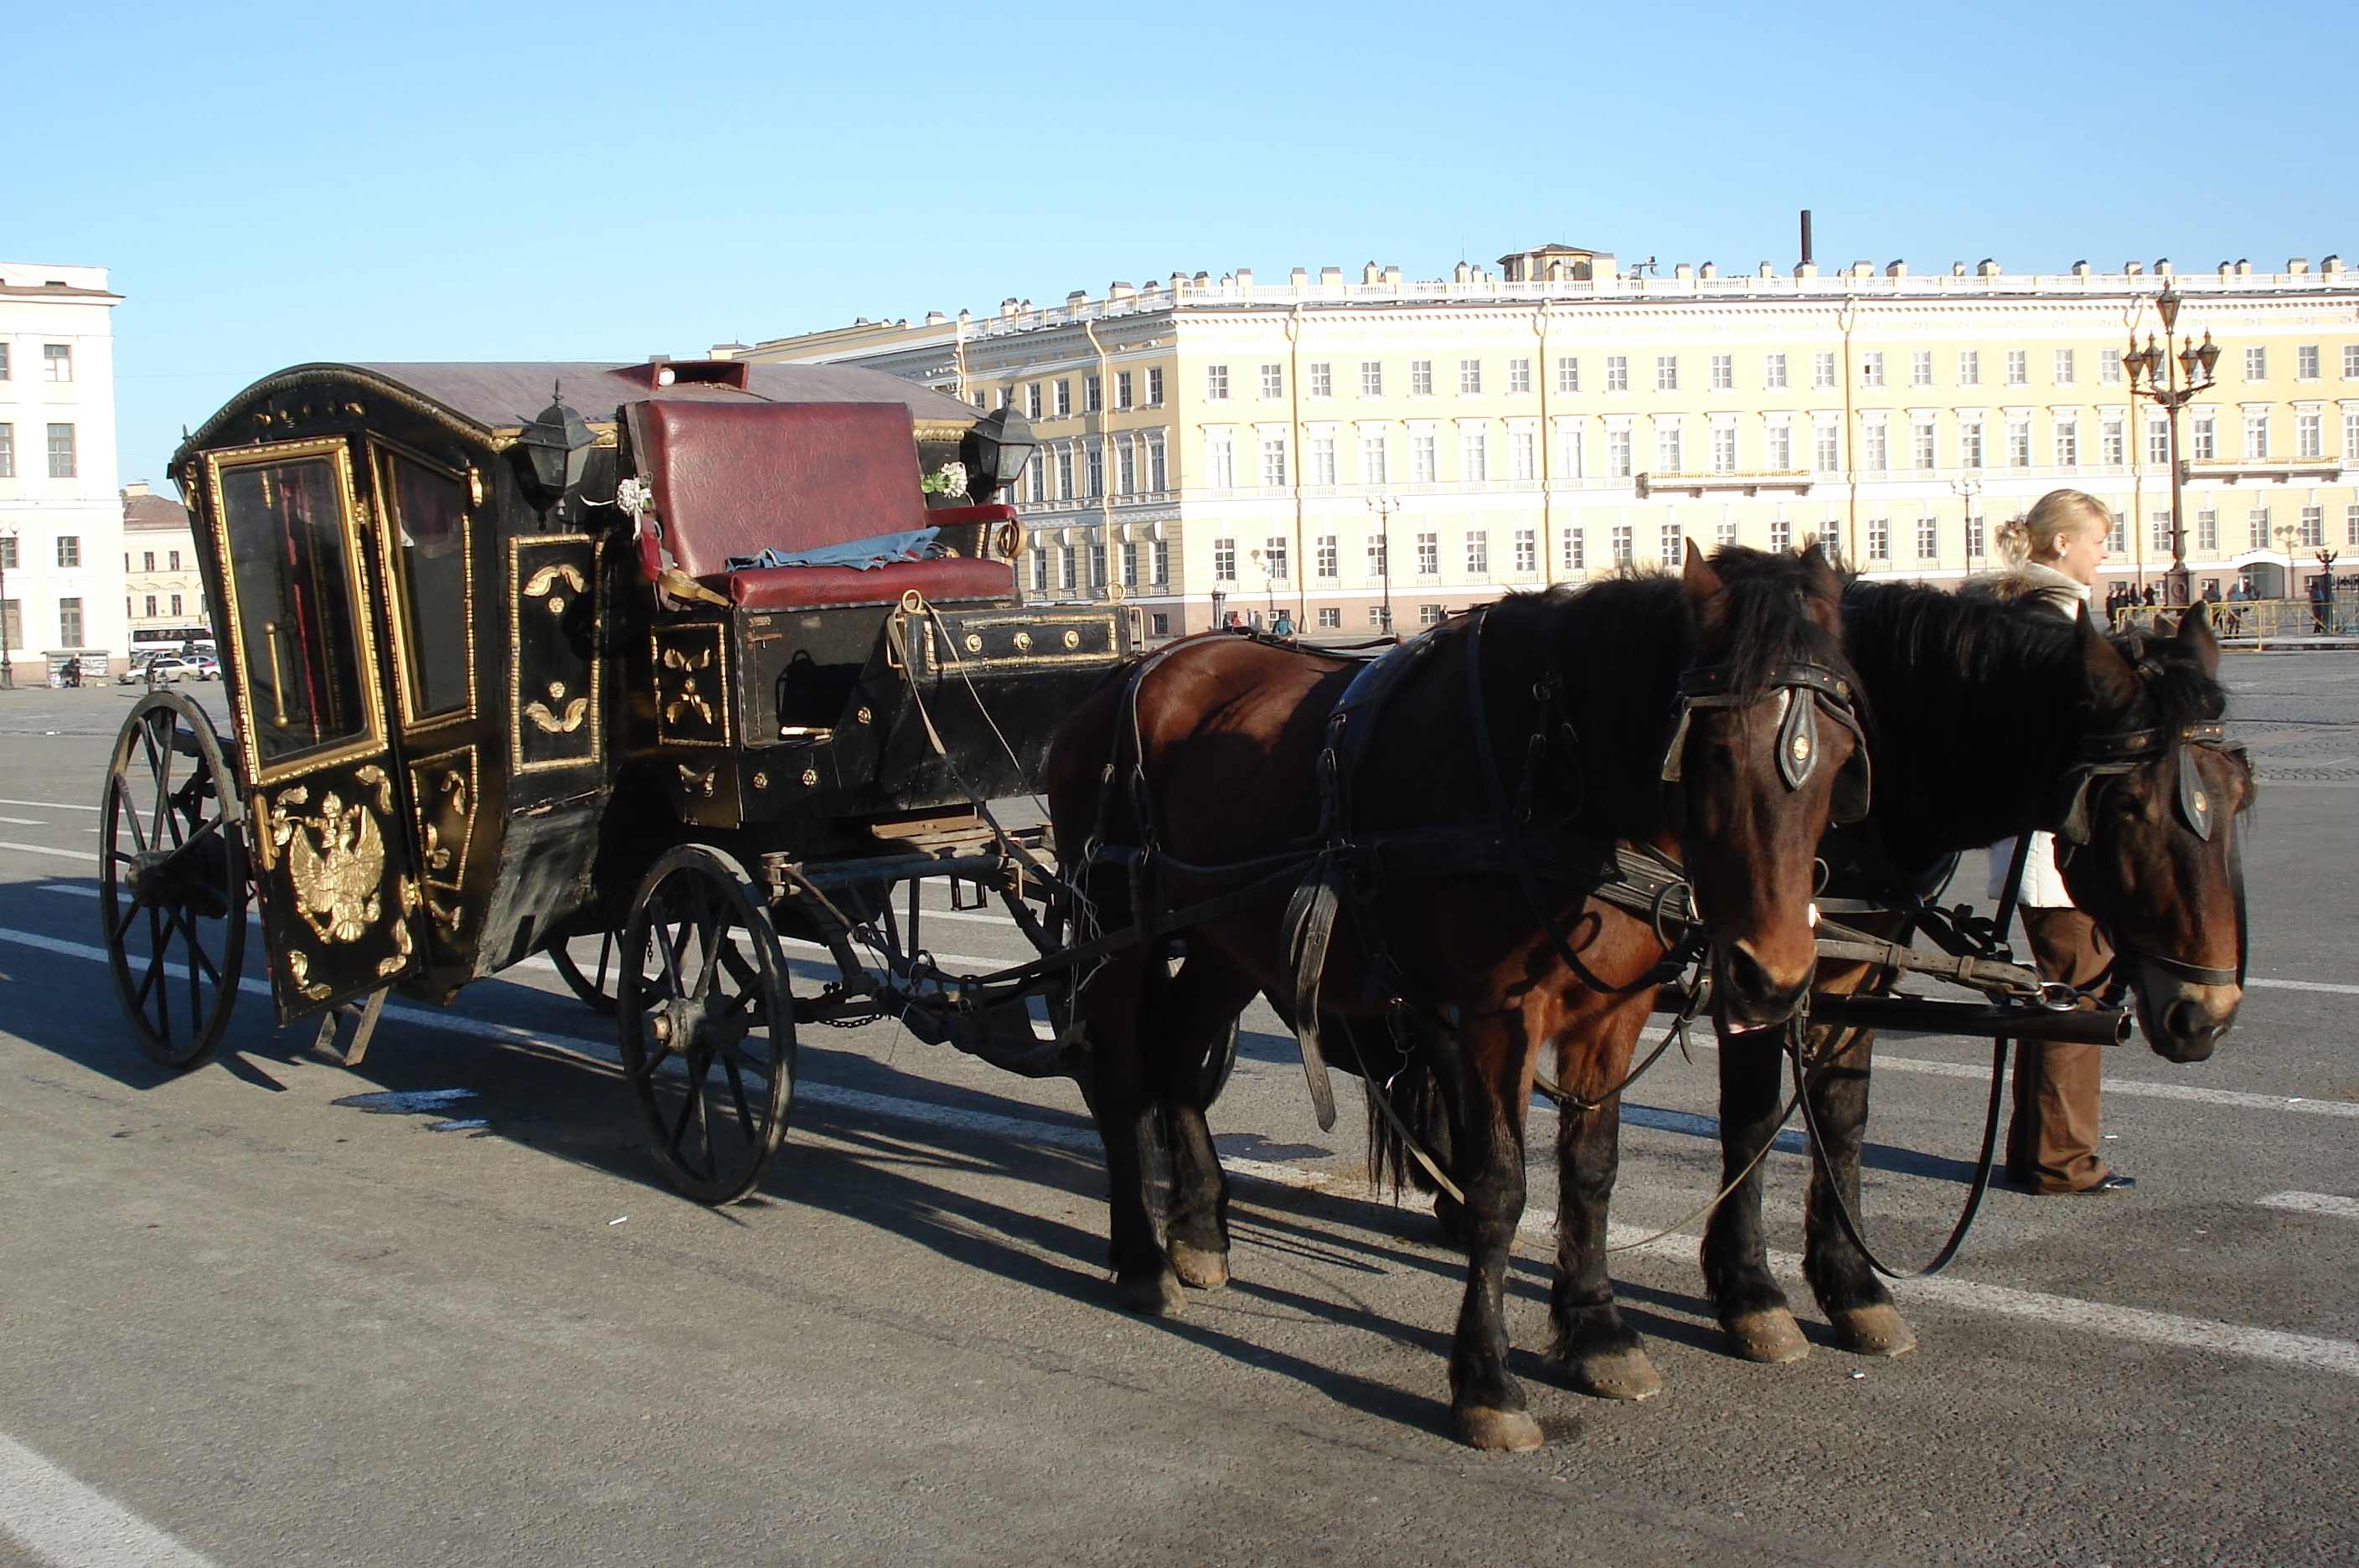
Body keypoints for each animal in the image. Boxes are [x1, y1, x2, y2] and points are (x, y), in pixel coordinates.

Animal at [1047, 544, 1859, 1452]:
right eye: (1712, 749)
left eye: (1837, 756)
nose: (1775, 977)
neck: (1553, 755)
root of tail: (1128, 673)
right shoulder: (1498, 1015)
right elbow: (1499, 1184)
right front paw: (1486, 1381)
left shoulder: (1610, 1013)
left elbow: (1591, 1171)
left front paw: (1596, 1332)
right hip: (1114, 926)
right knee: (1122, 1079)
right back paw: (1141, 1260)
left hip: (1230, 936)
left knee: (1179, 1053)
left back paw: (1197, 1230)